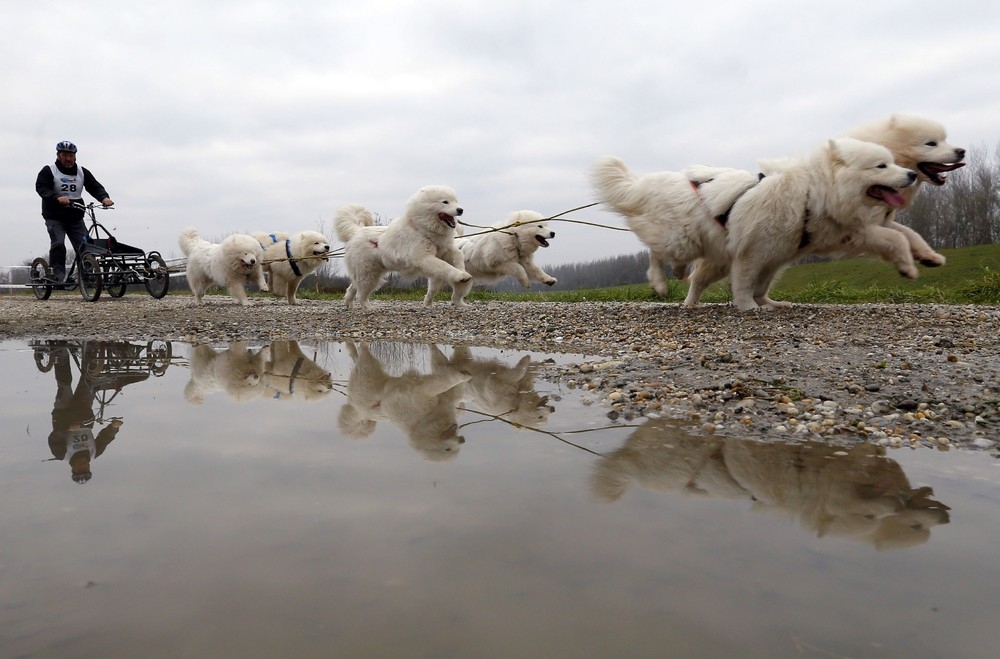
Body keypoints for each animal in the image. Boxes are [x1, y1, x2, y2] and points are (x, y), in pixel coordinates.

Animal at [334, 184, 470, 310]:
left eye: (456, 201)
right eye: (445, 201)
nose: (461, 210)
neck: (422, 228)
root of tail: (356, 231)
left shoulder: (445, 250)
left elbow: (458, 255)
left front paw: (462, 271)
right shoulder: (424, 258)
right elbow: (445, 266)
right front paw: (461, 276)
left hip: (367, 274)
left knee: (352, 287)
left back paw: (349, 304)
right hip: (369, 275)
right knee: (360, 294)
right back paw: (369, 307)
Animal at [426, 210, 560, 306]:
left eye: (546, 225)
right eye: (540, 226)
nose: (553, 233)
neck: (514, 239)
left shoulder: (527, 263)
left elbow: (537, 271)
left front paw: (549, 279)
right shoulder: (498, 263)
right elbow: (519, 269)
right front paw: (525, 282)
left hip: (464, 283)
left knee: (455, 298)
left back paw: (464, 307)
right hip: (440, 279)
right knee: (431, 293)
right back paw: (428, 305)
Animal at [716, 137, 916, 312]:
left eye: (892, 162)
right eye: (881, 165)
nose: (913, 174)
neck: (811, 194)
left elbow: (897, 236)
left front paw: (909, 264)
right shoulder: (753, 250)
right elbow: (744, 282)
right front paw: (748, 306)